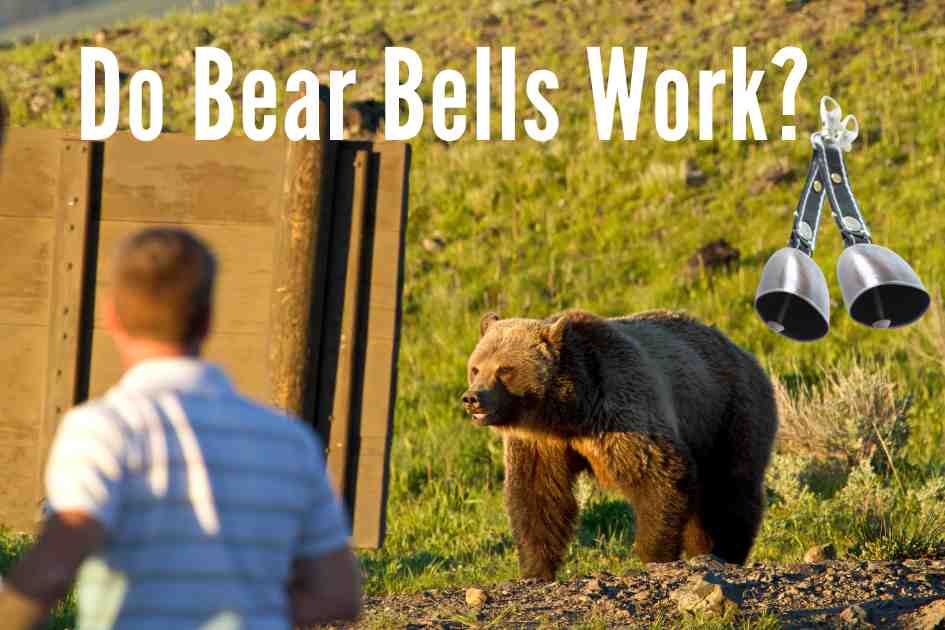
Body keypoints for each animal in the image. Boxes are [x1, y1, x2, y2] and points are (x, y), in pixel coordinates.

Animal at [461, 308, 778, 581]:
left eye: (504, 369)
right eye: (476, 368)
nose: (472, 398)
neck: (567, 411)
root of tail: (742, 350)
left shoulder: (620, 407)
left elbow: (658, 473)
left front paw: (654, 555)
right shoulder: (540, 442)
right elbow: (538, 495)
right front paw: (536, 569)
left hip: (728, 413)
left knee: (730, 487)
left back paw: (725, 550)